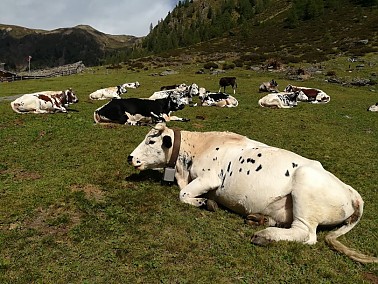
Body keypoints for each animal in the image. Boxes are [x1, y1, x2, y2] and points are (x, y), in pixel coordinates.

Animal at [129, 122, 378, 264]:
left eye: (151, 140)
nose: (130, 157)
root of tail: (351, 191)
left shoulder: (210, 178)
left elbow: (183, 195)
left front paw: (205, 203)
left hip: (306, 184)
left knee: (306, 234)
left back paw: (266, 235)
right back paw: (260, 219)